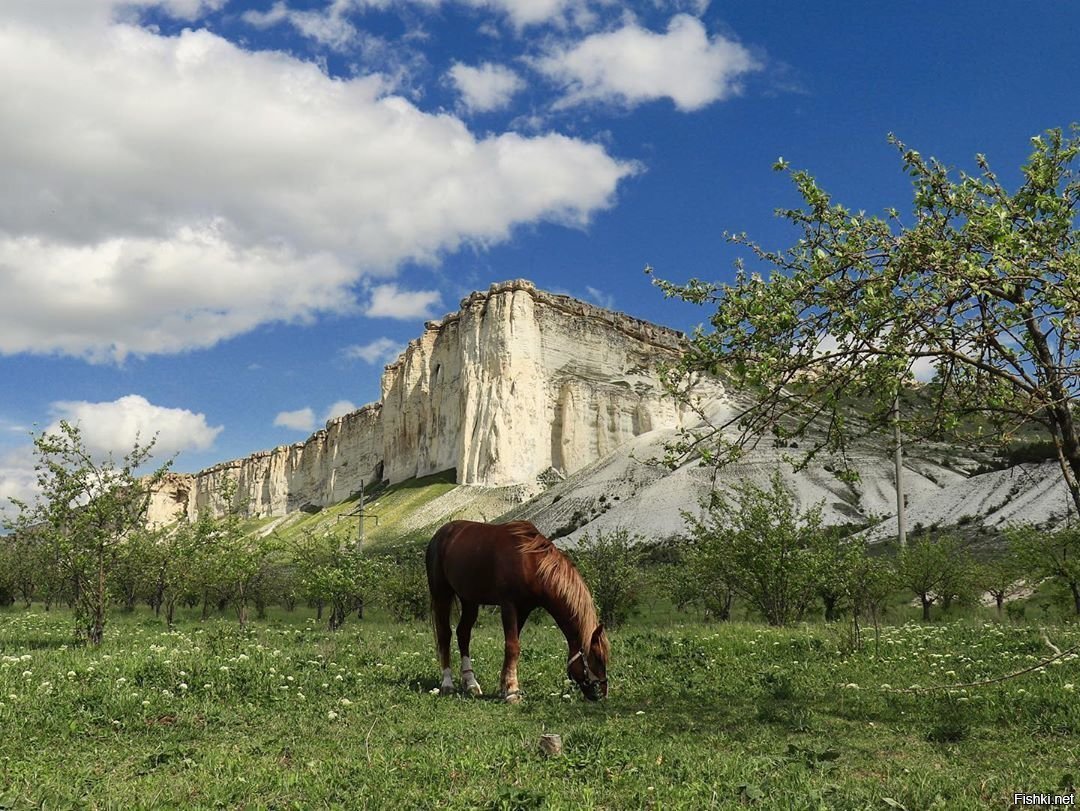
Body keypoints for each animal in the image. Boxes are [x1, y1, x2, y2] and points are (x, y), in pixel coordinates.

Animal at [423, 522, 609, 699]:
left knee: (463, 633)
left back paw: (471, 684)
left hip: (469, 600)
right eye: (597, 658)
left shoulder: (524, 609)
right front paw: (512, 691)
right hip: (441, 594)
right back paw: (447, 684)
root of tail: (439, 535)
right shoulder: (509, 605)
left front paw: (504, 687)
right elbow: (512, 646)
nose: (602, 693)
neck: (530, 562)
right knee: (445, 634)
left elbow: (513, 646)